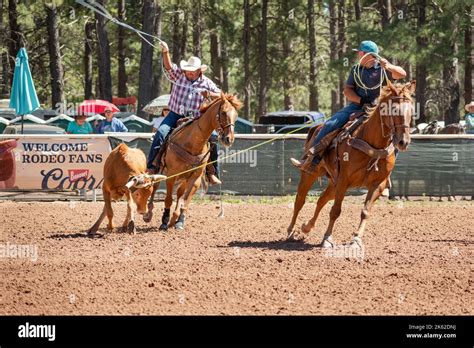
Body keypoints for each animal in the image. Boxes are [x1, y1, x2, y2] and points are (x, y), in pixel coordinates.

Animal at [145, 92, 243, 231]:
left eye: (236, 115)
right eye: (223, 112)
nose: (229, 139)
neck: (192, 142)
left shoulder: (195, 177)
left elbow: (185, 201)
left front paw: (179, 221)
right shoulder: (171, 175)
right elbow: (168, 199)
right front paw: (164, 221)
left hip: (184, 178)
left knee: (179, 194)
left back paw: (174, 218)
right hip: (160, 170)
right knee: (155, 187)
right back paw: (148, 214)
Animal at [286, 80, 416, 247]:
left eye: (411, 109)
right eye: (393, 109)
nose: (403, 142)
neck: (372, 144)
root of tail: (317, 128)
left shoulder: (377, 185)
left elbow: (365, 212)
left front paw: (356, 239)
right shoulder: (344, 180)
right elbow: (336, 211)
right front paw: (327, 238)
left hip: (333, 182)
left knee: (322, 200)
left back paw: (307, 226)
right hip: (311, 174)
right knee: (300, 200)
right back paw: (290, 231)